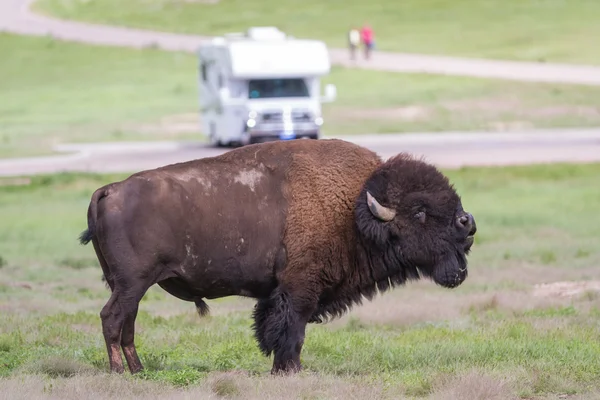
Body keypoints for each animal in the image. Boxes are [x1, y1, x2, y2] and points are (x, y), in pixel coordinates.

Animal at [77, 138, 476, 376]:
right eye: (420, 212)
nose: (467, 223)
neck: (352, 206)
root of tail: (109, 190)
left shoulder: (281, 292)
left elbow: (276, 328)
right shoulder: (300, 288)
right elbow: (291, 330)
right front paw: (289, 370)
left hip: (131, 286)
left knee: (127, 322)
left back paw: (139, 370)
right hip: (133, 282)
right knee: (112, 319)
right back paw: (119, 372)